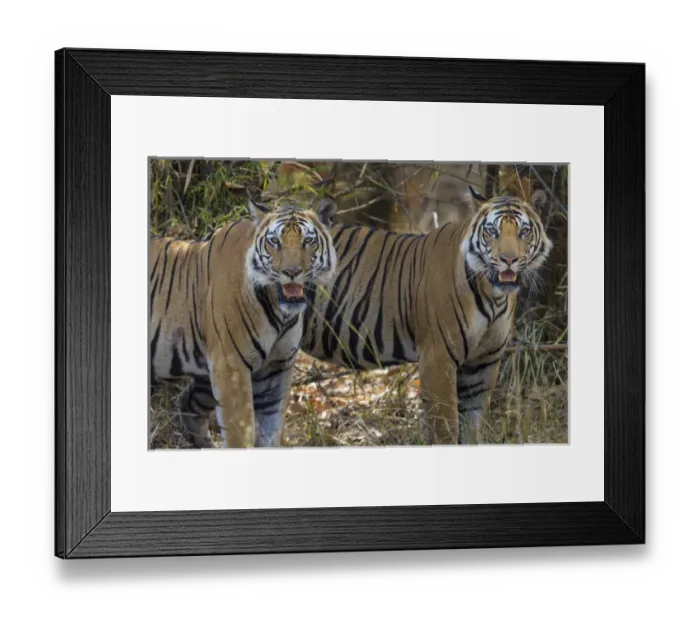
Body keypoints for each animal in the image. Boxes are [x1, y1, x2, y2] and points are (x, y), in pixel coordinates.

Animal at [149, 197, 337, 449]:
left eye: (308, 241)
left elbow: (271, 430)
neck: (281, 313)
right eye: (274, 241)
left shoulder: (276, 368)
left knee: (188, 403)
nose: (291, 272)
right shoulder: (231, 365)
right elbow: (240, 433)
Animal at [300, 188, 553, 445]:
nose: (509, 260)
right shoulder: (438, 357)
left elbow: (472, 427)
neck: (494, 295)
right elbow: (445, 428)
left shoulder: (484, 363)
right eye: (492, 231)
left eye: (524, 231)